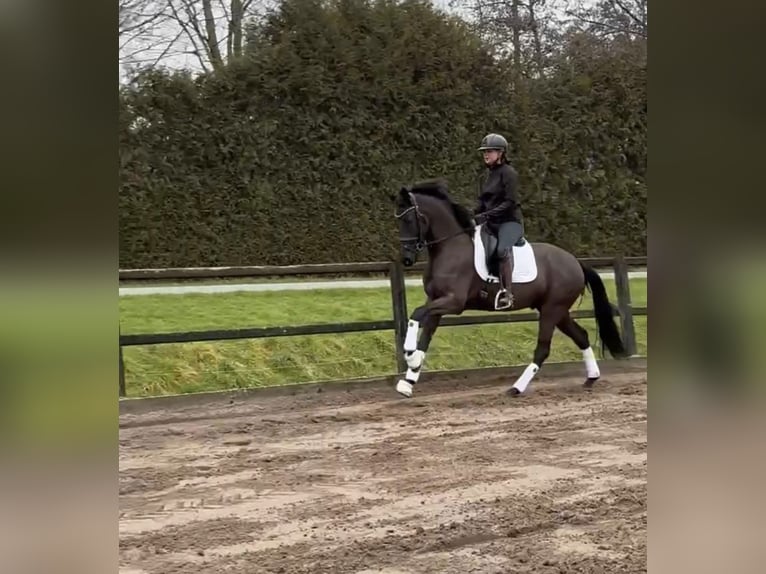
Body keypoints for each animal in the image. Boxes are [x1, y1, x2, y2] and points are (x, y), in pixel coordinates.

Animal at [390, 179, 628, 398]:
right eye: (398, 219)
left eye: (409, 219)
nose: (407, 259)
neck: (450, 247)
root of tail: (575, 262)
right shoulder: (436, 300)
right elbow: (425, 336)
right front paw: (409, 380)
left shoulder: (453, 302)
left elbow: (416, 314)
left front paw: (409, 354)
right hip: (557, 310)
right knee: (581, 336)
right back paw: (591, 378)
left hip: (552, 310)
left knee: (543, 349)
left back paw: (516, 388)